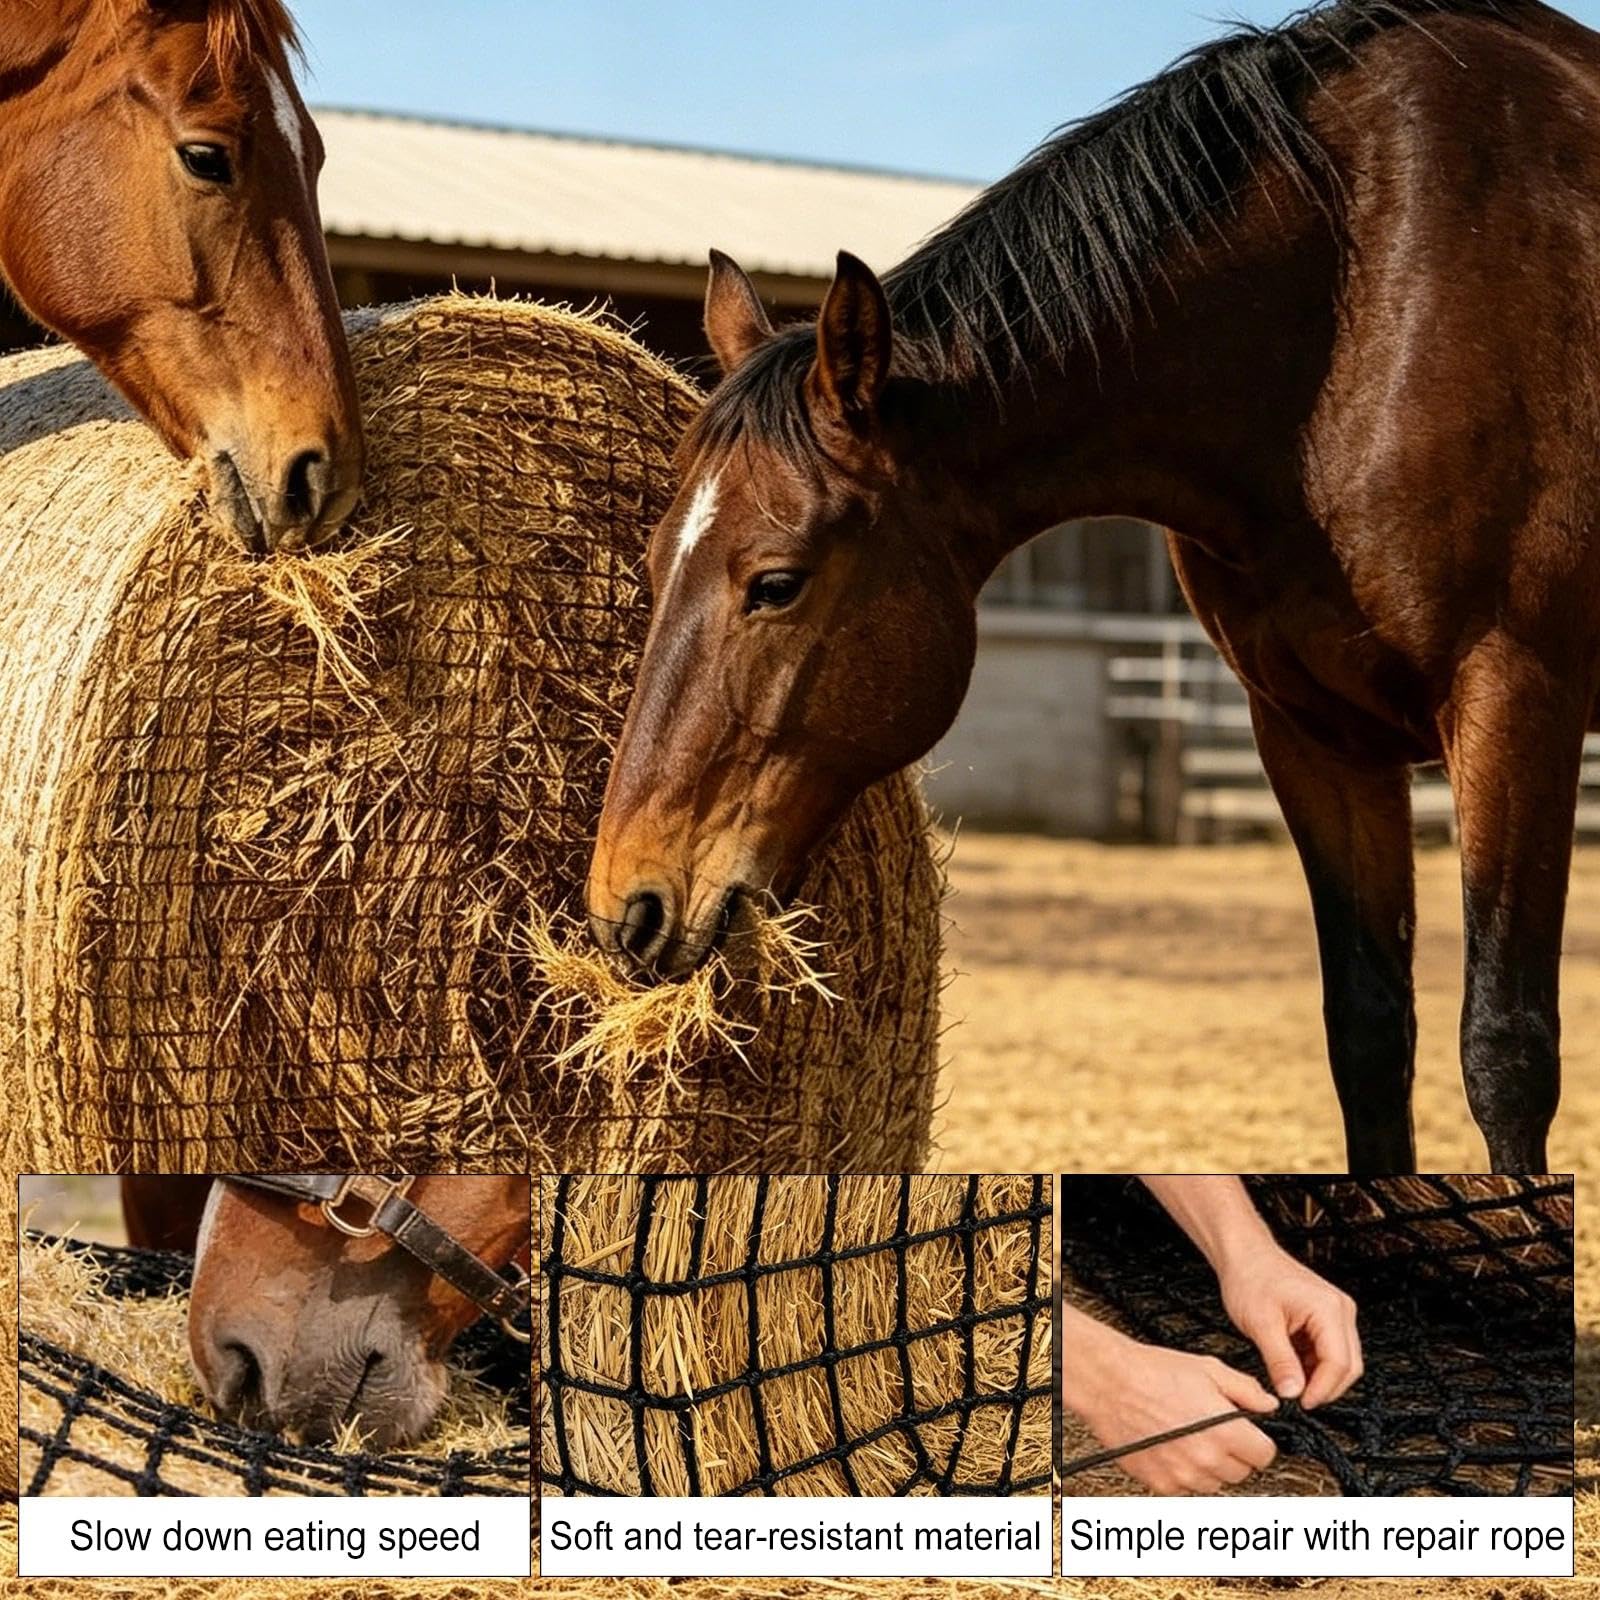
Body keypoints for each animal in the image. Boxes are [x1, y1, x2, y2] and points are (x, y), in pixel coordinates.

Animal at [587, 0, 1600, 1177]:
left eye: (777, 582)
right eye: (657, 563)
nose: (626, 907)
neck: (1364, 302)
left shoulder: (1514, 700)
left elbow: (1505, 1050)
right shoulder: (1310, 731)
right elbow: (1368, 1038)